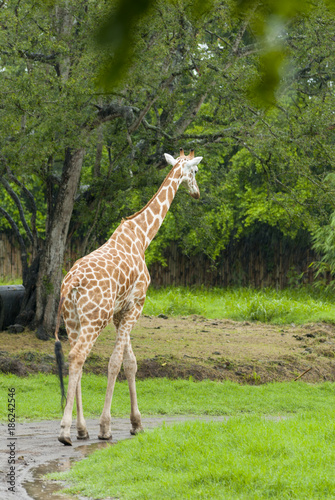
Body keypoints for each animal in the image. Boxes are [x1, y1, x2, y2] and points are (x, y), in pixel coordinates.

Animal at [54, 147, 205, 446]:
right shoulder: (136, 305)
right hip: (93, 320)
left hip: (73, 320)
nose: (196, 193)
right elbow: (115, 363)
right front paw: (106, 427)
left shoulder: (119, 312)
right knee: (78, 356)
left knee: (76, 359)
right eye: (194, 171)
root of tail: (71, 283)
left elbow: (130, 363)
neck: (143, 237)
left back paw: (81, 429)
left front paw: (136, 424)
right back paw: (65, 432)